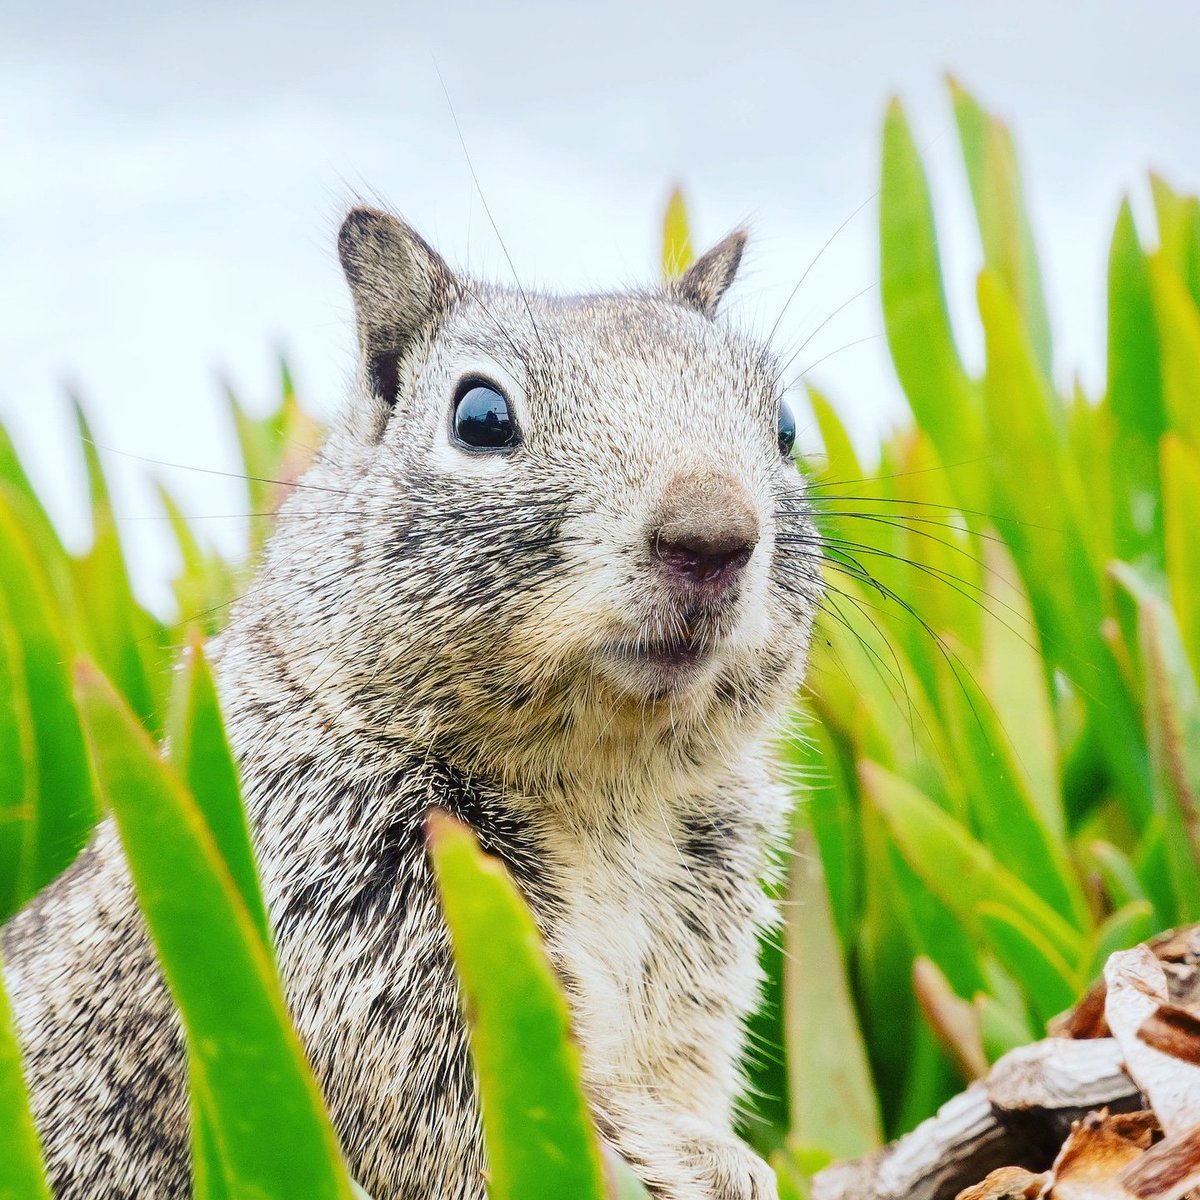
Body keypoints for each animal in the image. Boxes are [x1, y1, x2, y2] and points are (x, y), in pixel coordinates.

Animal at [3, 207, 822, 1199]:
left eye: (785, 425)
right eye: (481, 417)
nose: (712, 535)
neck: (605, 783)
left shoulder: (701, 929)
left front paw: (719, 1153)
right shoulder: (349, 919)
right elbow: (486, 1119)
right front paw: (688, 1164)